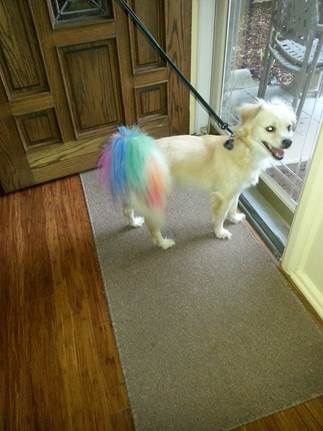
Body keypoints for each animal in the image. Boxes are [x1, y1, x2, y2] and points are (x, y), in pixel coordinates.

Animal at [98, 98, 296, 250]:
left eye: (289, 128)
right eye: (270, 129)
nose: (288, 142)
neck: (245, 150)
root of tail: (135, 152)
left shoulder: (236, 191)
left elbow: (233, 207)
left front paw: (234, 218)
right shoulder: (223, 196)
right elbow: (220, 217)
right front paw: (219, 232)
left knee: (127, 208)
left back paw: (133, 223)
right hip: (154, 198)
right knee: (152, 226)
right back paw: (163, 243)